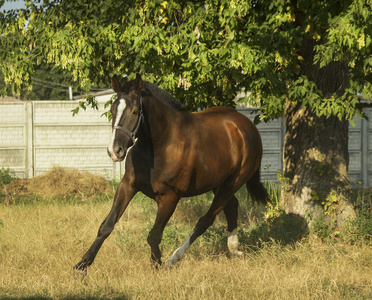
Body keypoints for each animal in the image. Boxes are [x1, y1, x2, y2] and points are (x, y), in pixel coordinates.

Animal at [74, 74, 268, 272]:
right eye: (113, 109)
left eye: (135, 111)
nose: (115, 151)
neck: (161, 146)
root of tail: (247, 126)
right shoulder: (128, 185)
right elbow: (107, 225)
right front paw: (82, 265)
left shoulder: (169, 197)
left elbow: (154, 235)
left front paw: (157, 265)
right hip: (218, 183)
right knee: (231, 207)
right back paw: (234, 249)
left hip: (232, 183)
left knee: (206, 220)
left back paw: (174, 258)